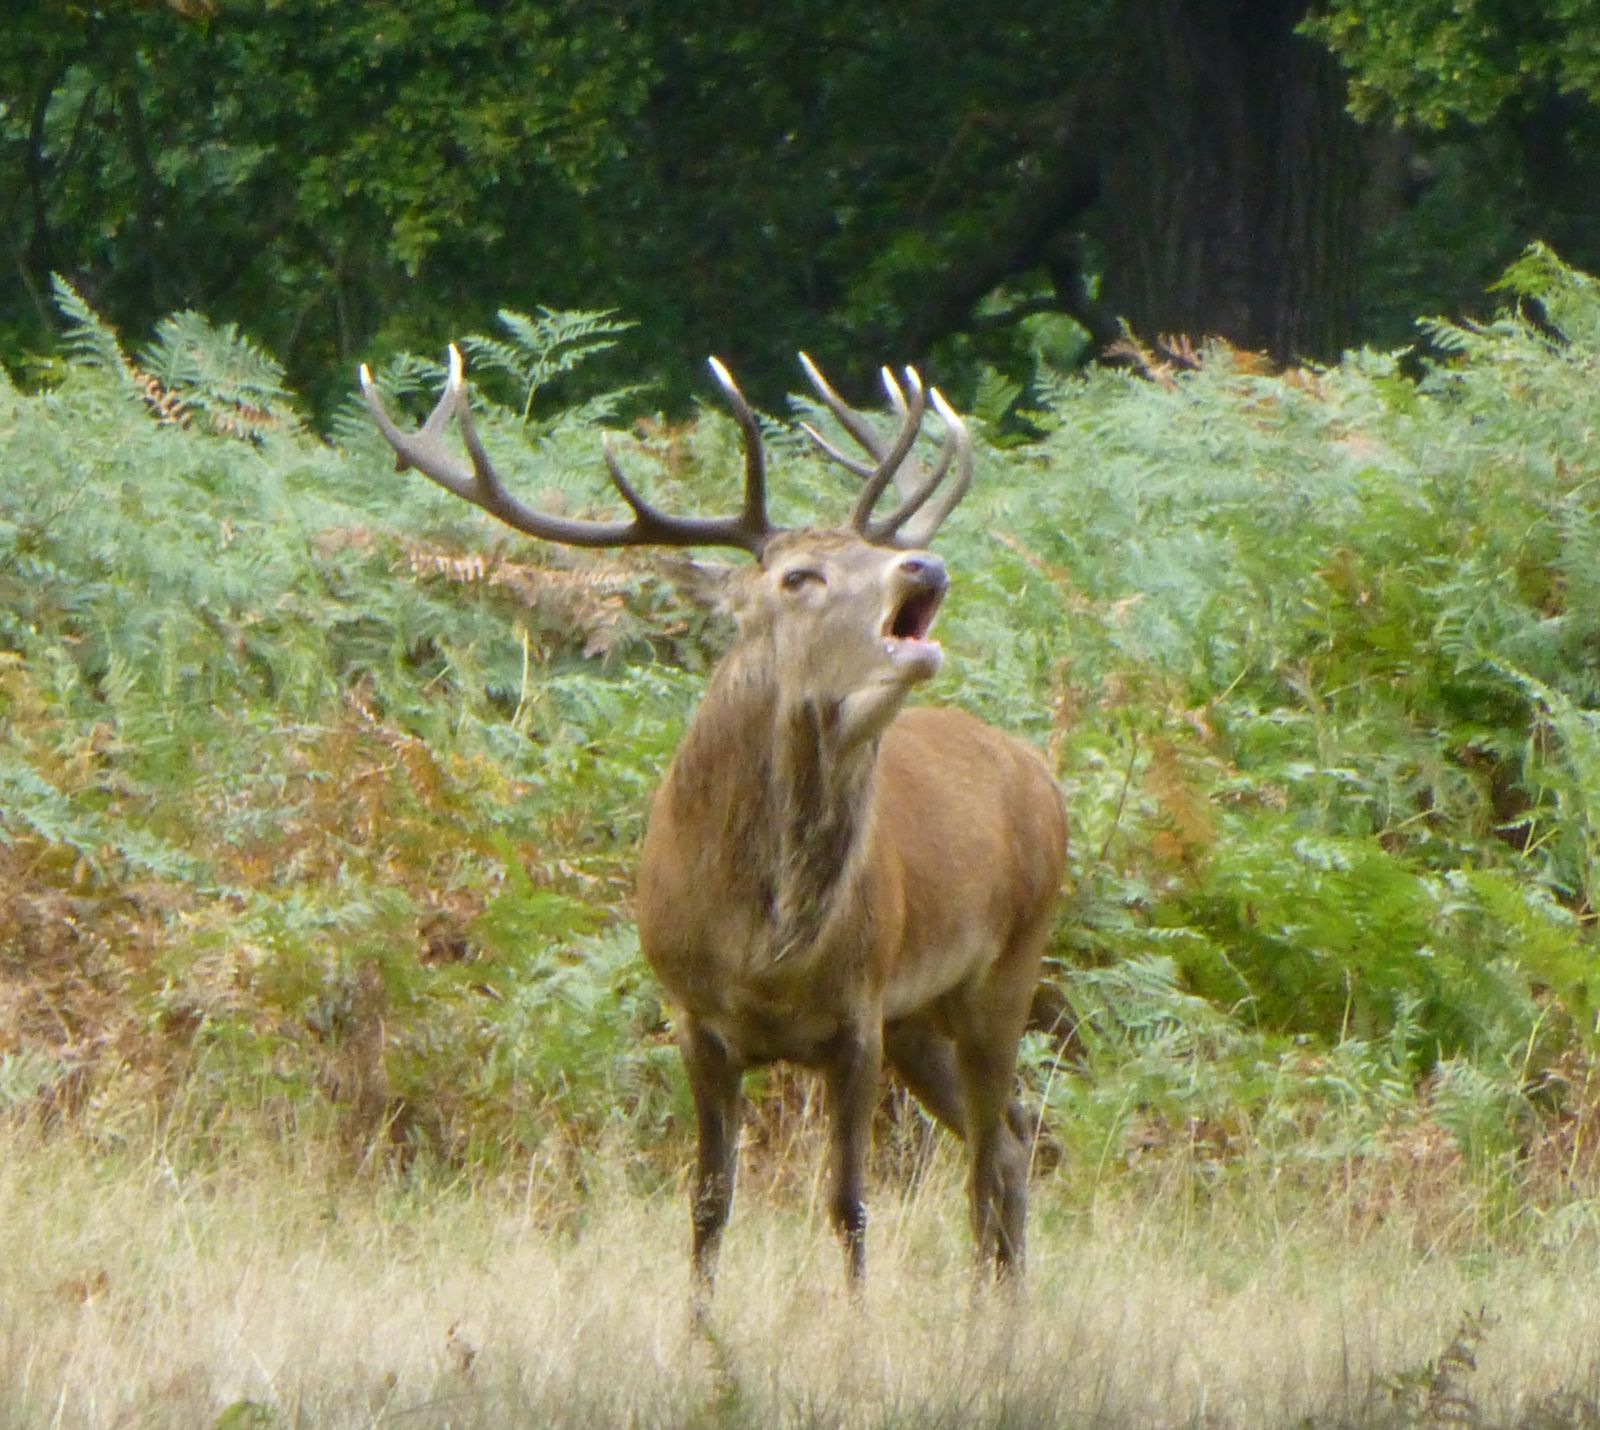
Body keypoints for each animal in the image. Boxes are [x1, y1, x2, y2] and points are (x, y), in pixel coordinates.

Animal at [360, 345, 1067, 1303]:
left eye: (877, 551)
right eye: (798, 577)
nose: (923, 568)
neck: (767, 951)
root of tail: (1040, 774)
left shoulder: (859, 1017)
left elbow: (848, 1205)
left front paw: (853, 1326)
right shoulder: (695, 1018)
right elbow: (706, 1203)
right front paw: (701, 1326)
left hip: (1007, 967)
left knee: (994, 1155)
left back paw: (998, 1312)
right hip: (925, 1018)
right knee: (1013, 1137)